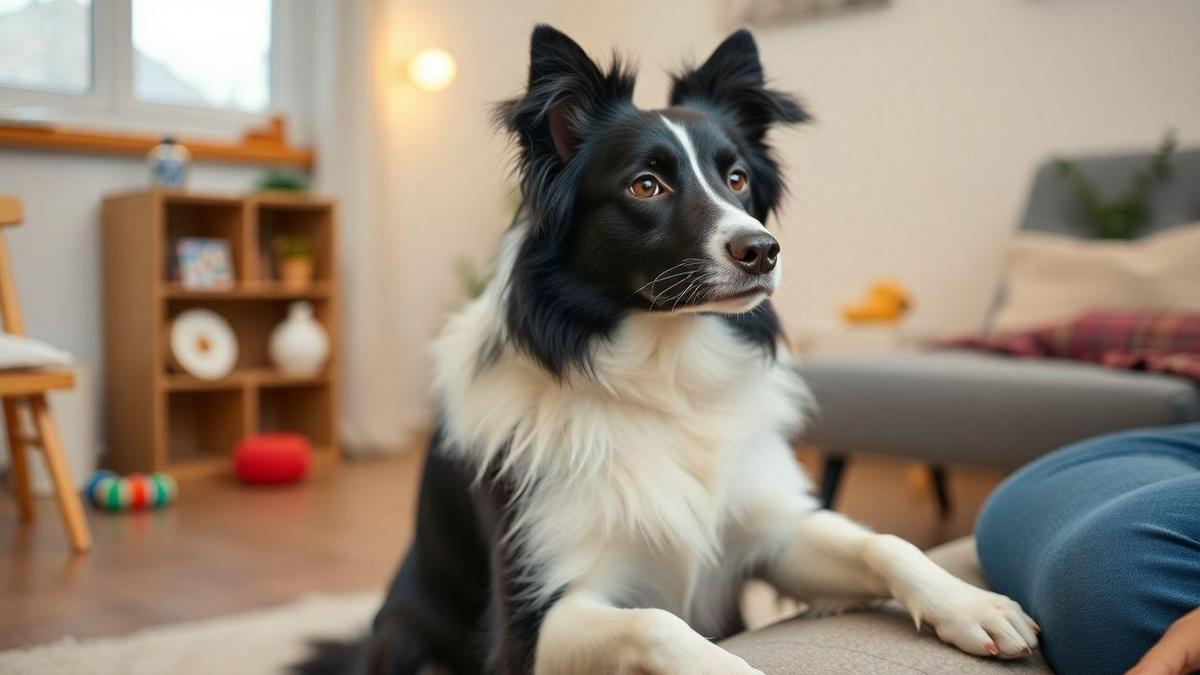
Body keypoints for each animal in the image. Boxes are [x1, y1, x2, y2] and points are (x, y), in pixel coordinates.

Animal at [309, 24, 1041, 672]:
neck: (666, 373)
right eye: (646, 185)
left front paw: (973, 604)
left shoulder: (770, 532)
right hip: (410, 638)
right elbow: (657, 624)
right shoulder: (535, 619)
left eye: (737, 178)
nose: (764, 250)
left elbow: (885, 543)